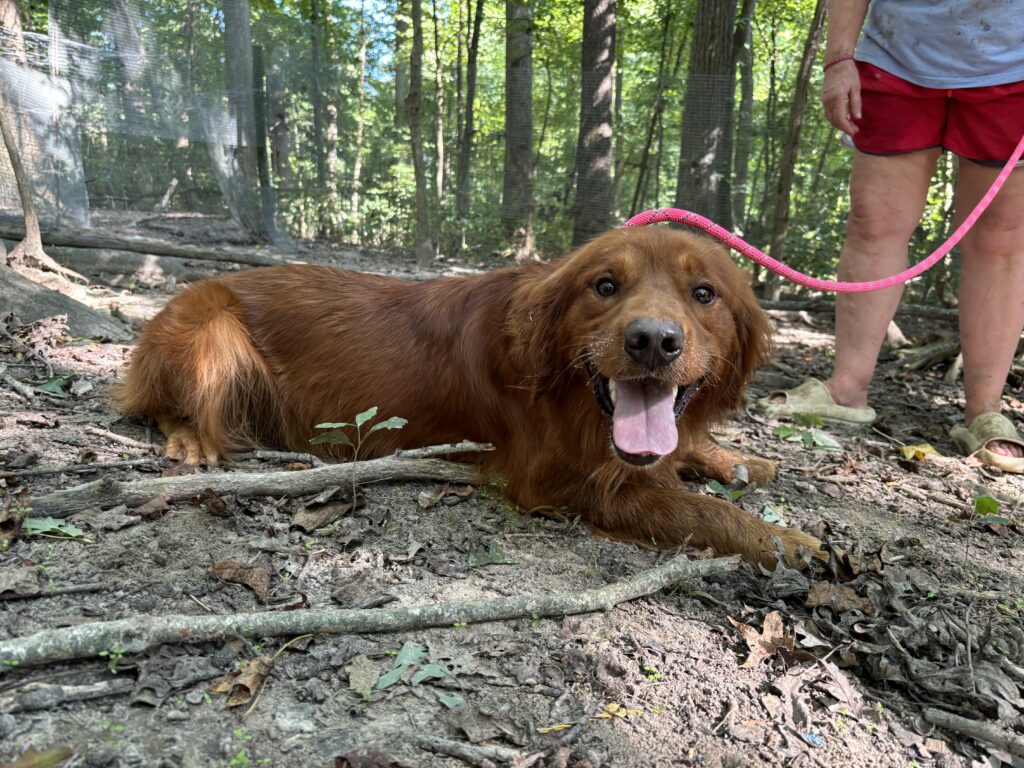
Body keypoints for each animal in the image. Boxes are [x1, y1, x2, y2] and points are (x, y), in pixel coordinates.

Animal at [116, 227, 825, 566]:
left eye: (704, 294)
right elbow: (695, 508)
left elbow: (687, 453)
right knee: (165, 402)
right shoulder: (559, 480)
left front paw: (736, 458)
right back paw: (190, 438)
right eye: (604, 286)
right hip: (210, 327)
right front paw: (787, 541)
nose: (653, 341)